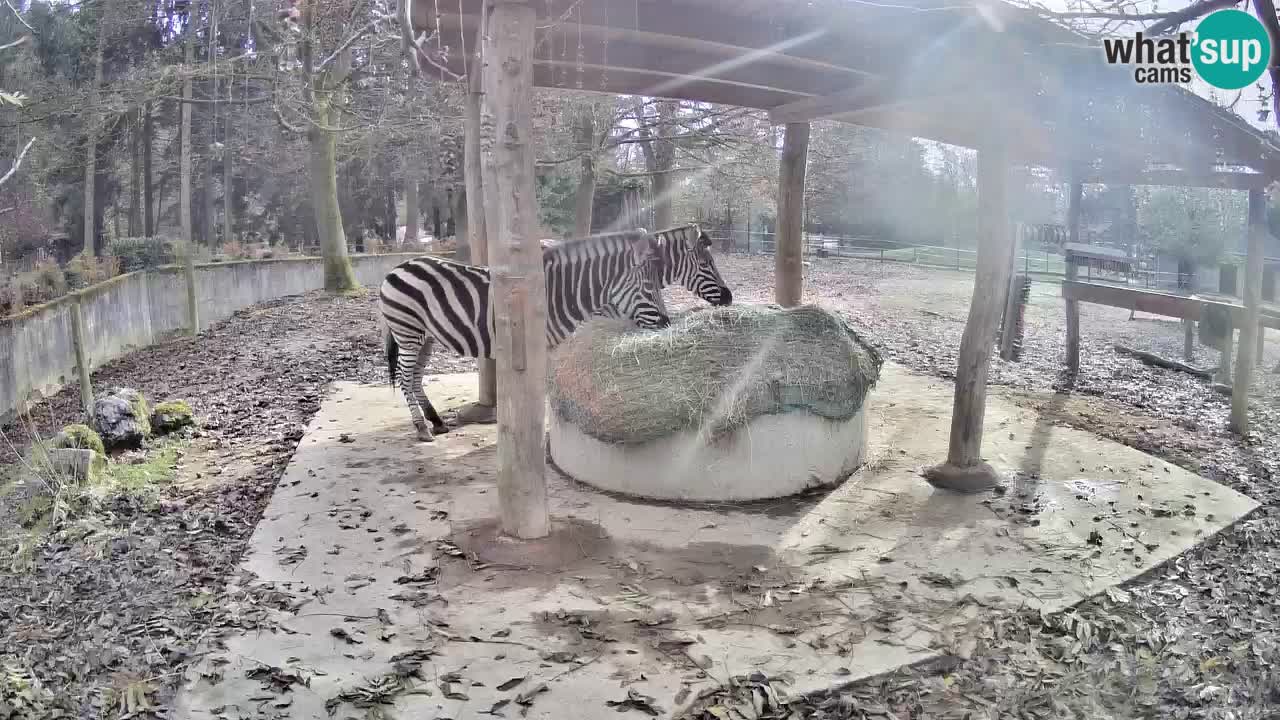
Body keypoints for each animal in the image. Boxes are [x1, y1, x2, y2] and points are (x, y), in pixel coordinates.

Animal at [378, 229, 675, 443]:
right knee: (405, 376)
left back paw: (436, 422)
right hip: (408, 331)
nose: (667, 324)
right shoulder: (542, 344)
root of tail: (397, 268)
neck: (559, 294)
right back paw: (421, 428)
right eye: (648, 288)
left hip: (425, 337)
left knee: (416, 376)